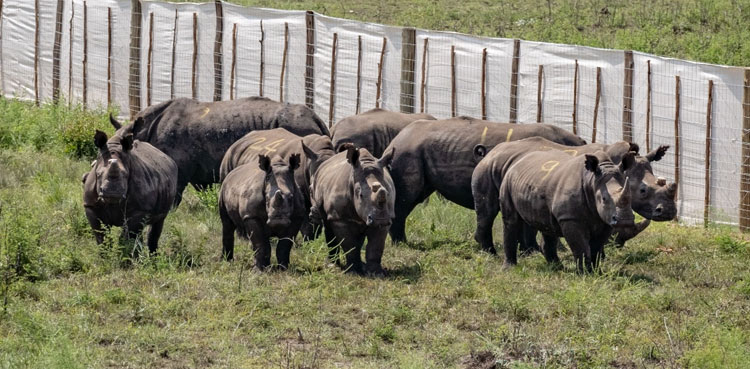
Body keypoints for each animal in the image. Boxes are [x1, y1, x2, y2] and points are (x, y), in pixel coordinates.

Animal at [308, 145, 396, 274]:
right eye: (360, 195)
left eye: (388, 194)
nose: (380, 219)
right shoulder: (340, 219)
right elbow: (349, 245)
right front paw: (353, 272)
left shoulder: (386, 217)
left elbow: (376, 246)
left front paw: (376, 273)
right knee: (328, 225)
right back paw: (332, 265)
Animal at [472, 137, 680, 254]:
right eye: (643, 191)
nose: (669, 212)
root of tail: (492, 151)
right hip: (489, 168)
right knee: (488, 211)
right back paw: (489, 252)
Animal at [500, 148, 636, 272]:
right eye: (603, 199)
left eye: (631, 198)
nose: (625, 220)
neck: (592, 181)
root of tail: (518, 160)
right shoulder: (570, 218)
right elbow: (580, 247)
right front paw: (585, 274)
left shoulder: (605, 219)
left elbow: (596, 248)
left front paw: (597, 272)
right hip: (508, 179)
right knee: (511, 221)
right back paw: (509, 268)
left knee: (548, 225)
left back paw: (557, 267)